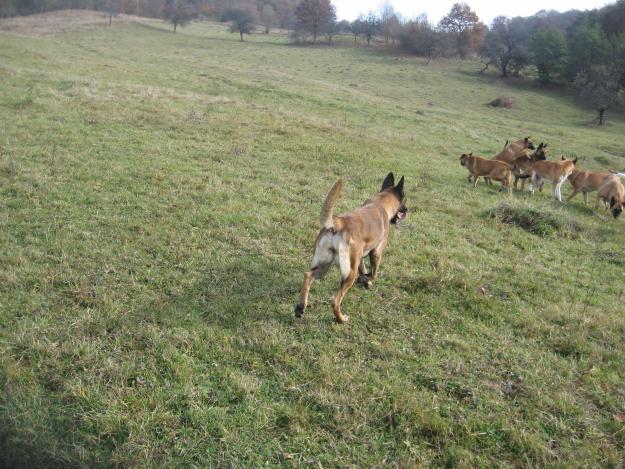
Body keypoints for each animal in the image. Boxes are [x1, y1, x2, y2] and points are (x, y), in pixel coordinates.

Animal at [294, 172, 408, 322]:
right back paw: (341, 319)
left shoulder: (359, 257)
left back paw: (300, 307)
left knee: (308, 276)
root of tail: (338, 222)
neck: (381, 202)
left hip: (324, 265)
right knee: (335, 301)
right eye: (405, 201)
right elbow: (374, 273)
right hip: (349, 274)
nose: (407, 210)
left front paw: (365, 279)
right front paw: (368, 280)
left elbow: (363, 269)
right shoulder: (377, 253)